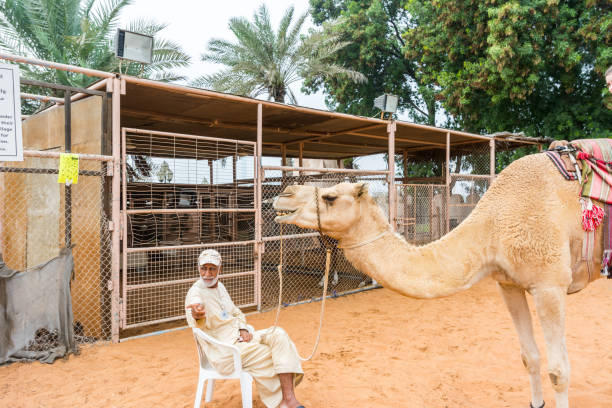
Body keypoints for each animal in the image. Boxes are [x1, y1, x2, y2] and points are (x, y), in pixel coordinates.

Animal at [270, 151, 604, 408]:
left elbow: (558, 372)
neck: (494, 225)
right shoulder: (509, 283)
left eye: (330, 196)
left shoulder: (550, 284)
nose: (283, 195)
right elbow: (529, 357)